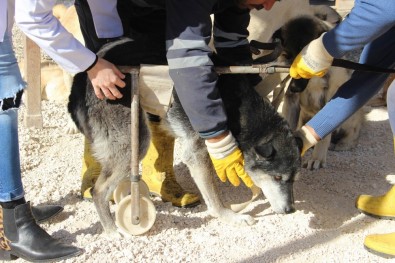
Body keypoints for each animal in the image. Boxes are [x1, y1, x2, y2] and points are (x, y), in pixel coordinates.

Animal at [69, 38, 304, 237]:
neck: (239, 111)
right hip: (136, 141)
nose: (290, 210)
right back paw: (112, 229)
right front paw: (229, 216)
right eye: (277, 177)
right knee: (98, 190)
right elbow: (213, 196)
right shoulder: (196, 152)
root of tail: (82, 79)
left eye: (293, 178)